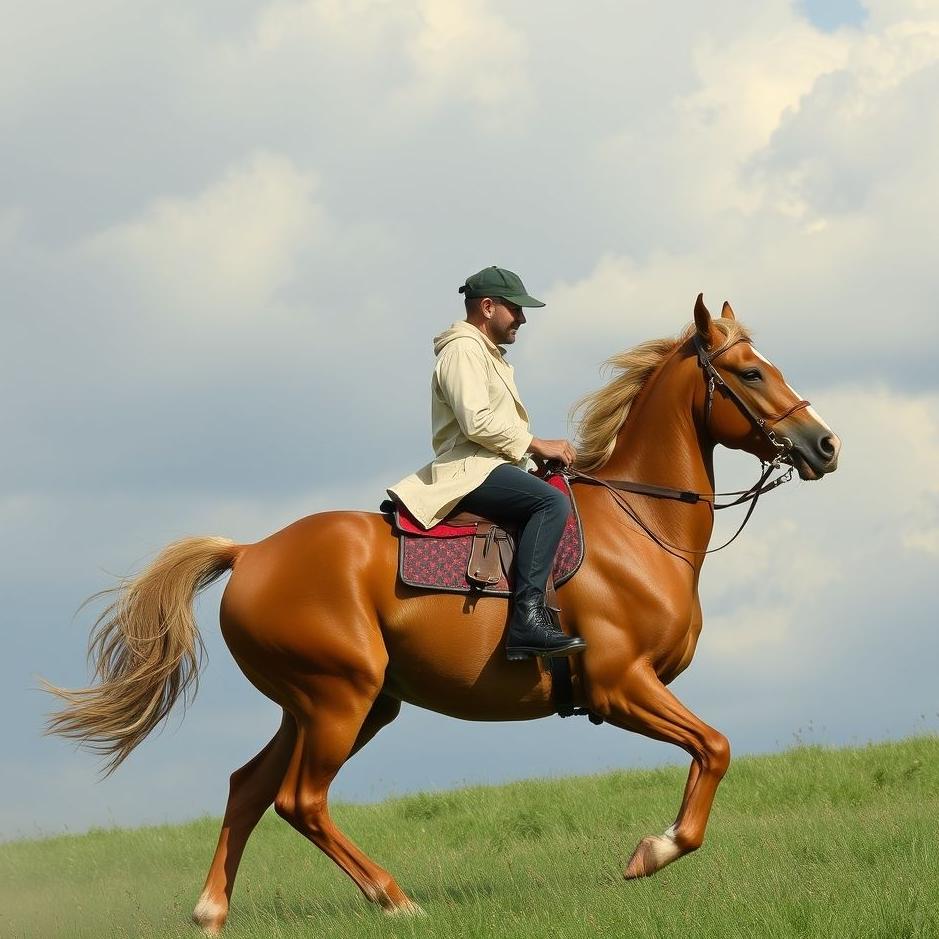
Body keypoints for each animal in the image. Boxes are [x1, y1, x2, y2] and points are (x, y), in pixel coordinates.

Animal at [45, 295, 841, 934]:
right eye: (749, 373)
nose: (825, 445)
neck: (639, 526)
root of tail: (250, 552)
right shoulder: (619, 685)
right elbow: (715, 748)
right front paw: (653, 851)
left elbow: (710, 751)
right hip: (339, 698)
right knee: (300, 800)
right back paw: (395, 899)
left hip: (331, 704)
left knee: (249, 789)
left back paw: (212, 912)